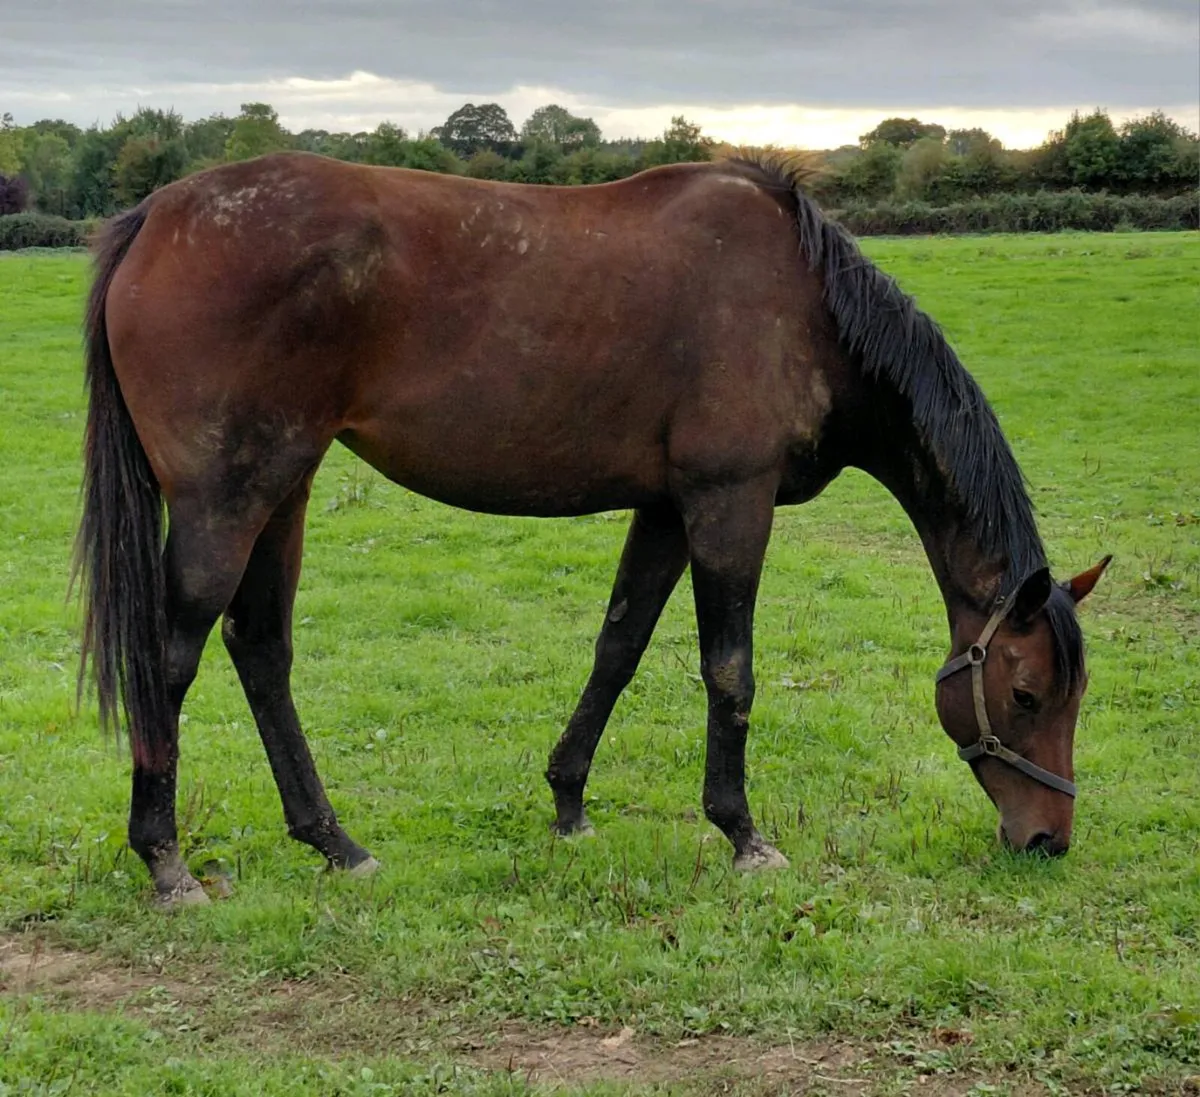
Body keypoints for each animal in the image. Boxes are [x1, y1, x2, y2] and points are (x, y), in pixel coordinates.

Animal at [74, 150, 1110, 906]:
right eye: (1025, 695)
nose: (1048, 840)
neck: (806, 307)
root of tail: (156, 216)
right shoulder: (729, 501)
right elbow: (730, 670)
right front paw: (742, 832)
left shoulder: (665, 508)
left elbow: (618, 646)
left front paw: (569, 803)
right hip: (227, 500)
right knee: (171, 659)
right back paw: (166, 861)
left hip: (282, 490)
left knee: (261, 649)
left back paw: (335, 842)